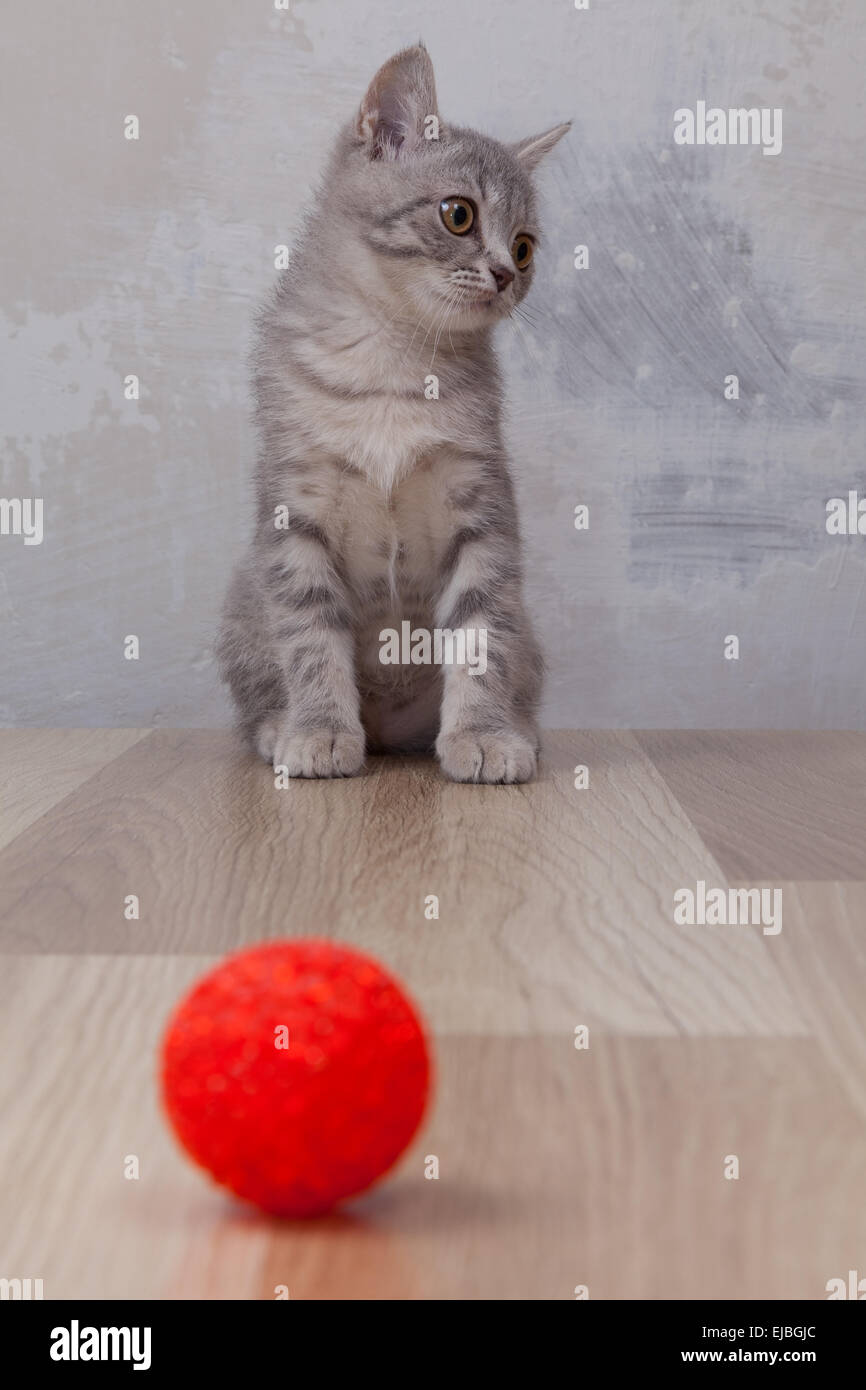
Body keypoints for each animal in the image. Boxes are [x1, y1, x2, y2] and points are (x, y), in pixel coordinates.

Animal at [216, 43, 569, 783]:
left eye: (525, 247)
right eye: (459, 214)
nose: (505, 275)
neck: (394, 359)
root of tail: (390, 732)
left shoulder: (483, 511)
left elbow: (481, 634)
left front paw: (483, 734)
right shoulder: (292, 517)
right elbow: (308, 633)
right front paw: (319, 729)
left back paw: (516, 728)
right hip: (242, 599)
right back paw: (280, 725)